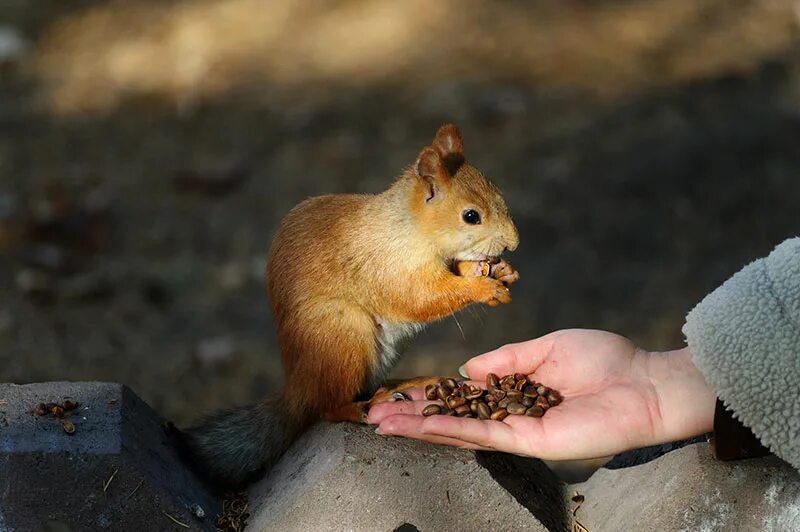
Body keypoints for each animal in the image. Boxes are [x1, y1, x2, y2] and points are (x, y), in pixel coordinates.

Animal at [178, 123, 520, 486]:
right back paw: (364, 407)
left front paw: (500, 271)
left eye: (498, 192)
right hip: (342, 333)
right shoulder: (390, 267)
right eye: (471, 216)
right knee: (328, 406)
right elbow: (421, 297)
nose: (513, 243)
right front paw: (482, 287)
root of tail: (298, 384)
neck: (411, 228)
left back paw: (406, 384)